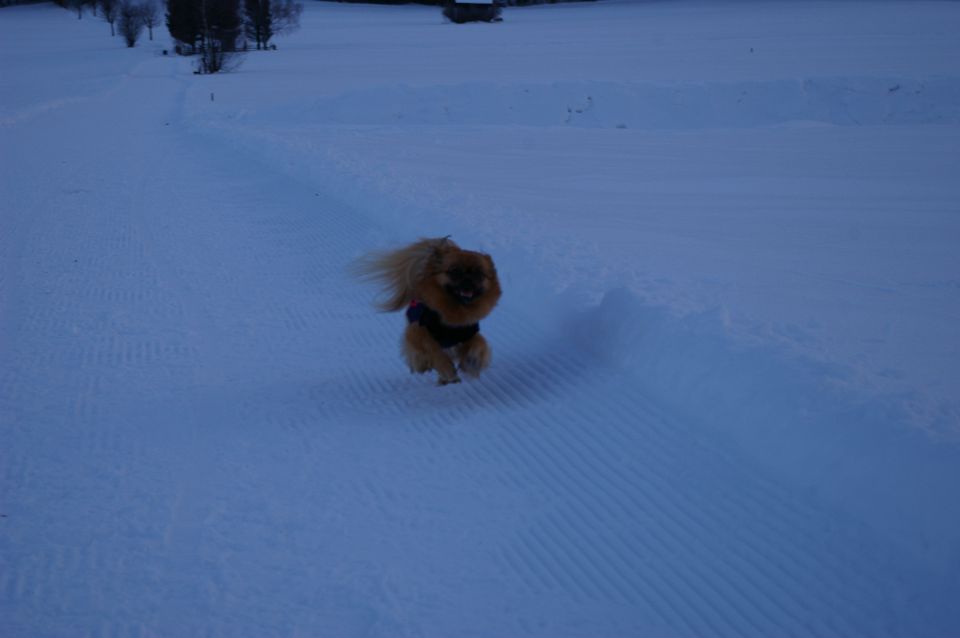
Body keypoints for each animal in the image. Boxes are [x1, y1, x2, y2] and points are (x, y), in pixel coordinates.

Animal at [354, 236, 502, 382]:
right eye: (455, 271)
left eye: (478, 274)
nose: (468, 280)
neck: (454, 312)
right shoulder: (418, 330)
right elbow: (432, 349)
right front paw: (446, 368)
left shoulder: (468, 332)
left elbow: (479, 342)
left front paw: (473, 361)